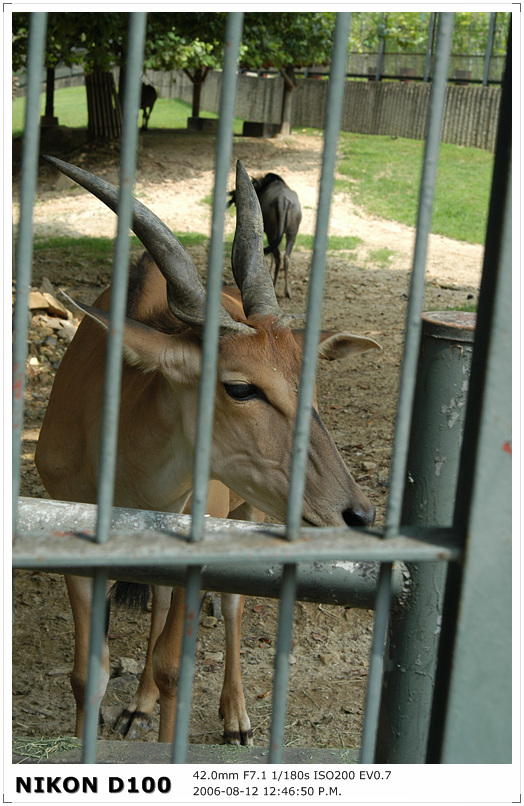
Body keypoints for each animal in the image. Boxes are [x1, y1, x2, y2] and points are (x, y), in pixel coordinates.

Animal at [35, 156, 380, 744]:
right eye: (240, 387)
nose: (355, 513)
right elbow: (88, 675)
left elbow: (174, 665)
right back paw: (139, 706)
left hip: (242, 511)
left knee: (232, 605)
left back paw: (235, 715)